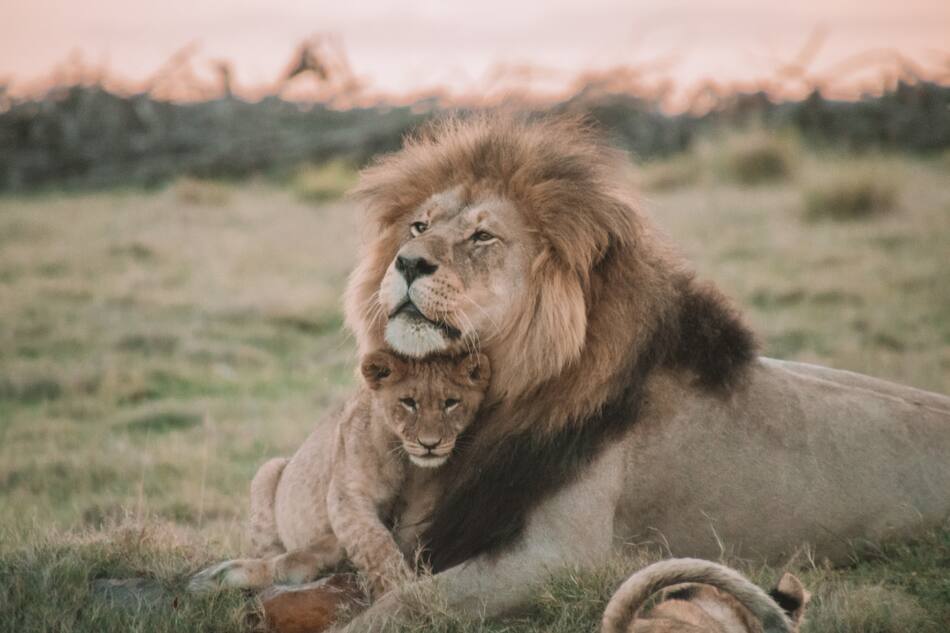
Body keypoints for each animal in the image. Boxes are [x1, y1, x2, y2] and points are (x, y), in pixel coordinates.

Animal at [189, 350, 489, 597]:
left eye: (451, 402)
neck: (407, 463)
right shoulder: (347, 495)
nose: (430, 444)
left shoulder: (424, 506)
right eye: (408, 402)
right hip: (268, 470)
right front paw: (400, 591)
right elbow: (375, 543)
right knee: (271, 552)